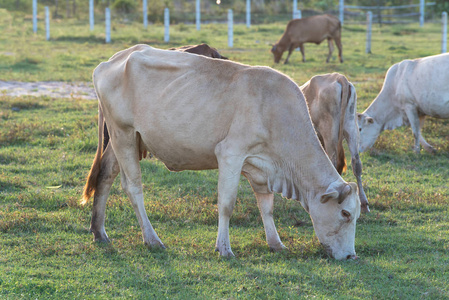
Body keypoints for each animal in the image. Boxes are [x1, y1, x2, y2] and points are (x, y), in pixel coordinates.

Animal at [81, 44, 360, 260]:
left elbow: (267, 206)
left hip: (122, 139)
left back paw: (100, 232)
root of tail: (116, 58)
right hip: (124, 134)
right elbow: (227, 204)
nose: (351, 256)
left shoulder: (262, 167)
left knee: (105, 176)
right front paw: (224, 248)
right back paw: (152, 239)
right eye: (345, 213)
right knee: (133, 187)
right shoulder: (230, 154)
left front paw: (276, 243)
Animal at [300, 73, 368, 213]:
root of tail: (338, 77)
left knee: (333, 161)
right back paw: (364, 203)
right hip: (352, 128)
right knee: (356, 163)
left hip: (329, 131)